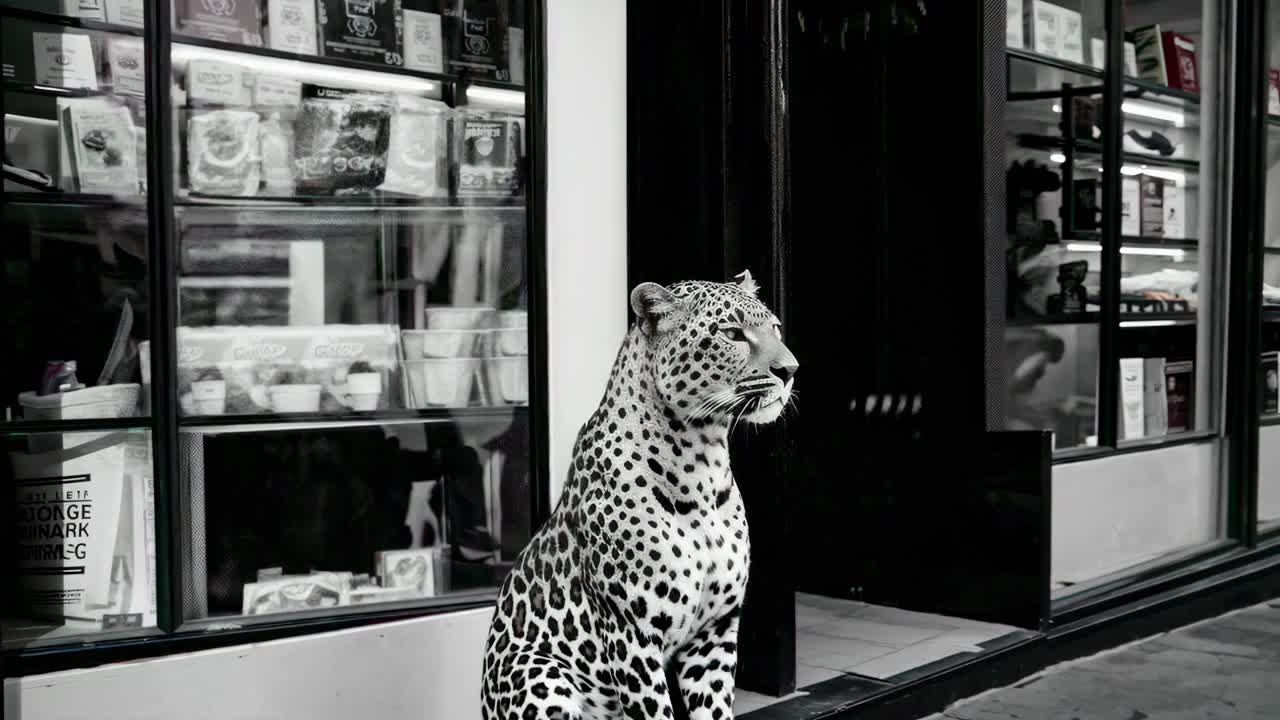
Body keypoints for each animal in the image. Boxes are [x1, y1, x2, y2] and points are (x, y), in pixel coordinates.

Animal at [482, 272, 798, 720]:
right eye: (733, 333)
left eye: (775, 328)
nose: (790, 370)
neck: (704, 464)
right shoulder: (632, 636)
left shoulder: (715, 633)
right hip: (536, 672)